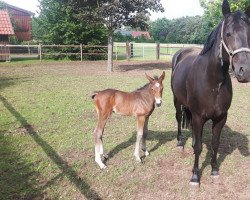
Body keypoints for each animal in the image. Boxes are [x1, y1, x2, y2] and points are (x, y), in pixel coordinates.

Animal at [171, 0, 249, 184]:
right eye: (228, 34)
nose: (244, 71)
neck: (213, 82)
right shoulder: (199, 116)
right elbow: (199, 147)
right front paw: (194, 176)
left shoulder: (220, 118)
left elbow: (214, 144)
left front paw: (214, 170)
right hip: (177, 101)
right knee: (179, 117)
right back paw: (180, 142)